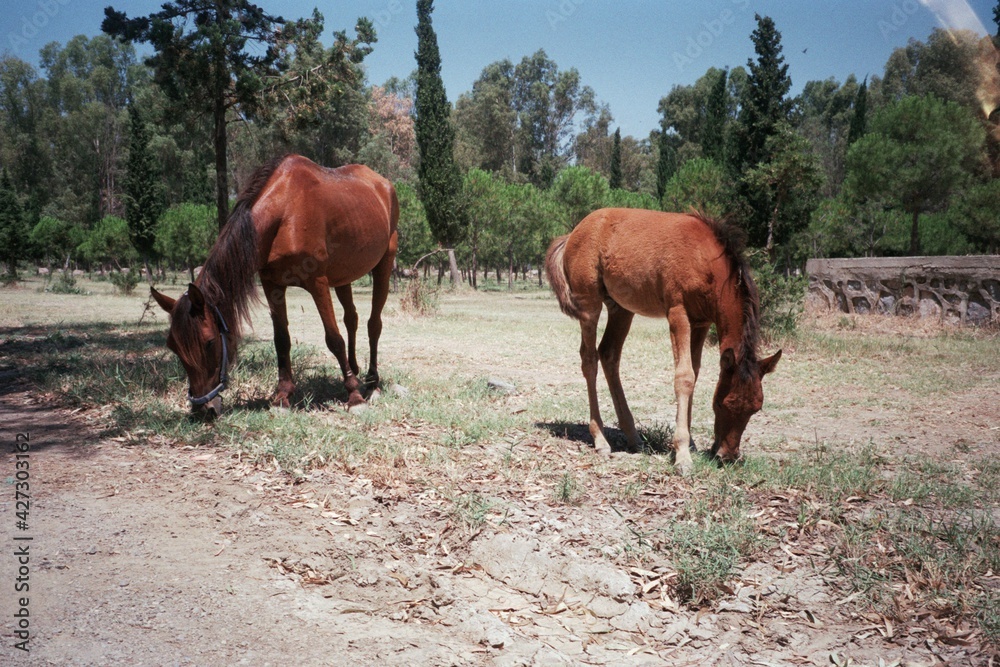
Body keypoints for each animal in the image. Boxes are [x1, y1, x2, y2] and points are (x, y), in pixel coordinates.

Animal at [151, 154, 399, 417]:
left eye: (209, 342)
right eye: (172, 346)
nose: (203, 409)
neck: (286, 211)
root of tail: (383, 183)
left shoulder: (318, 283)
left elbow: (334, 339)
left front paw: (353, 396)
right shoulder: (272, 285)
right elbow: (282, 340)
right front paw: (282, 395)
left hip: (384, 264)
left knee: (374, 324)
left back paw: (372, 382)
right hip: (343, 276)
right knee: (352, 318)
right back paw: (354, 368)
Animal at [545, 208, 781, 474]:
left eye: (756, 408)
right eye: (722, 404)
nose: (727, 456)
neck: (705, 259)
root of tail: (573, 233)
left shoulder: (700, 322)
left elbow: (695, 372)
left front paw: (690, 445)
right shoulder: (678, 313)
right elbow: (684, 377)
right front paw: (682, 455)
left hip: (621, 308)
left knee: (609, 354)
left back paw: (634, 437)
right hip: (590, 306)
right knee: (589, 359)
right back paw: (601, 439)